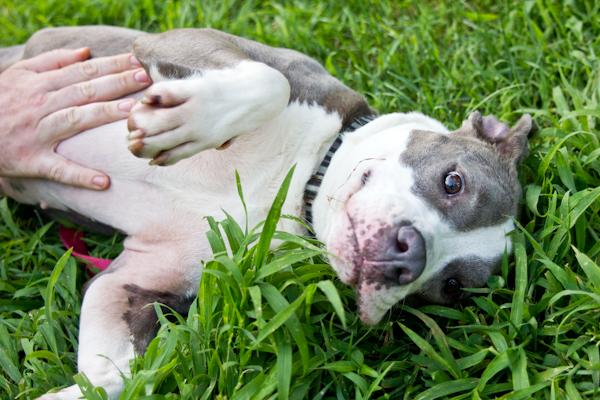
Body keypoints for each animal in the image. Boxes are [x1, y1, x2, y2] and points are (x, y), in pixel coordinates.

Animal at [0, 26, 532, 398]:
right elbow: (268, 80)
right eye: (453, 181)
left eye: (452, 287)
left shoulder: (133, 281)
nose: (409, 257)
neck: (299, 185)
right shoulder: (182, 43)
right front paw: (191, 121)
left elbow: (116, 378)